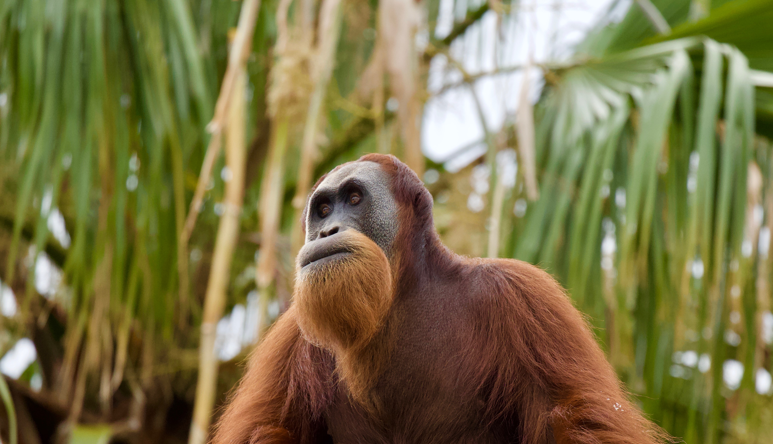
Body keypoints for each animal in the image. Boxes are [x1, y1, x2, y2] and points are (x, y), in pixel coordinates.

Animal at [212, 154, 670, 444]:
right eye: (323, 209)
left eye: (354, 199)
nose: (325, 231)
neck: (401, 295)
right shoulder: (291, 338)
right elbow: (267, 431)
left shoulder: (523, 296)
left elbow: (577, 418)